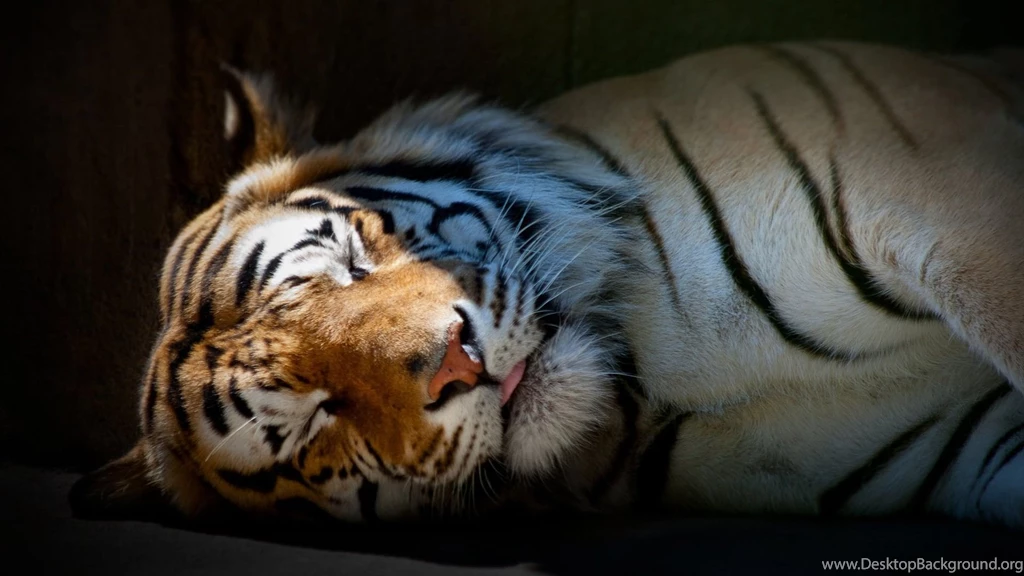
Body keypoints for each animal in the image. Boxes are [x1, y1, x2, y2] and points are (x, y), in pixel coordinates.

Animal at [71, 41, 1024, 529]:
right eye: (312, 418)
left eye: (352, 257)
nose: (457, 362)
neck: (656, 369)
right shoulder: (963, 449)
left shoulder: (948, 194)